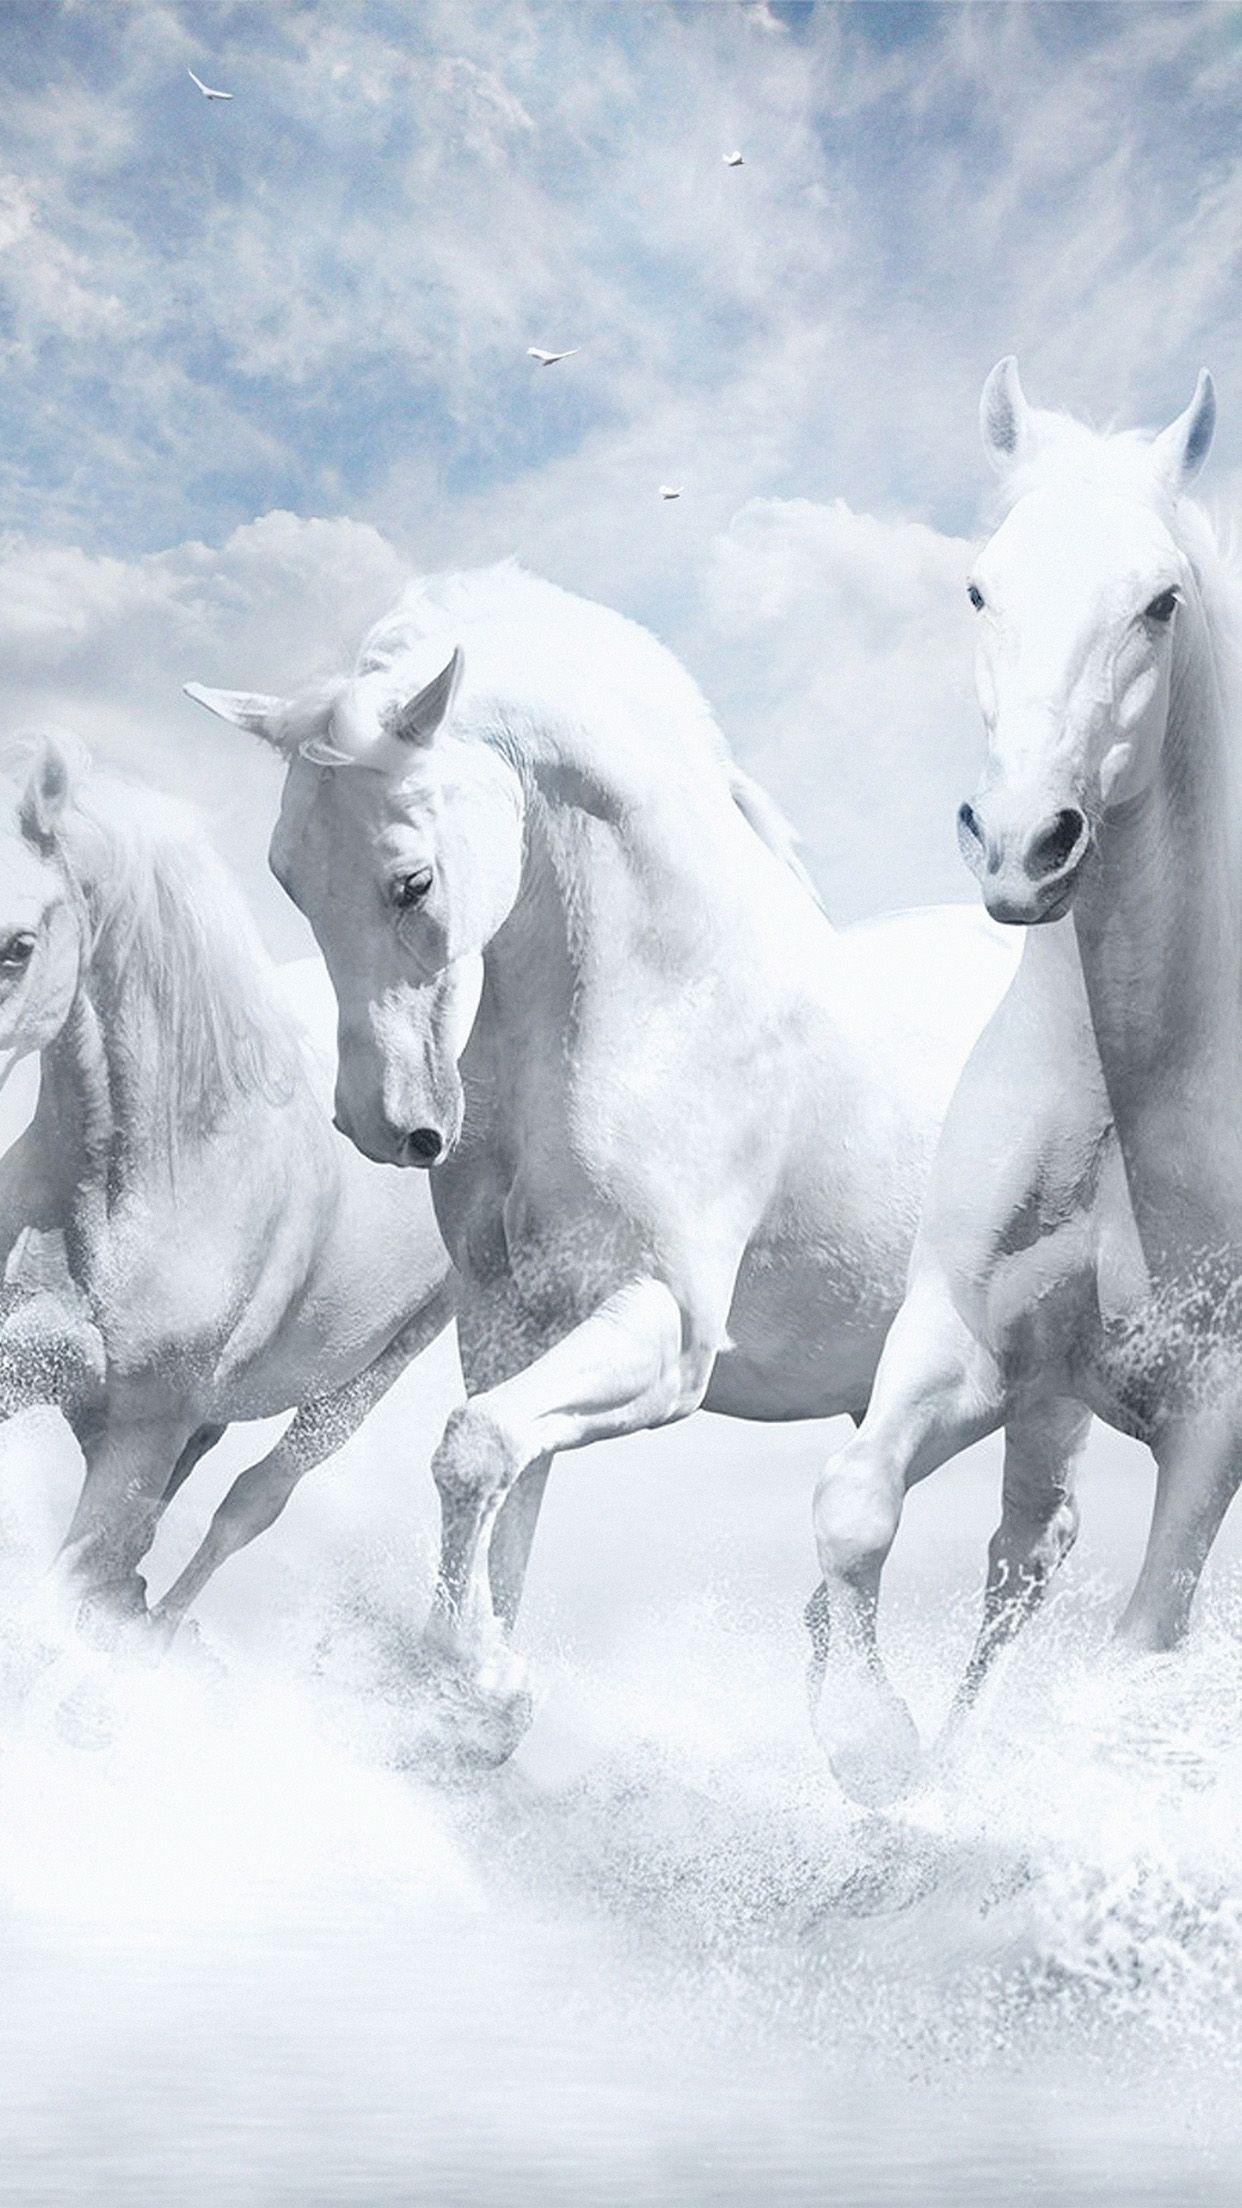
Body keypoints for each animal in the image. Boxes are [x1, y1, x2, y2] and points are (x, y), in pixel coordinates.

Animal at [186, 562, 1085, 1769]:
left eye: (411, 882)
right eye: (287, 877)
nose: (386, 1126)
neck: (659, 1008)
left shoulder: (666, 1329)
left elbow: (474, 1451)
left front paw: (482, 1685)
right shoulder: (512, 1321)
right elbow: (505, 1486)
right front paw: (478, 1697)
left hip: (1050, 1383)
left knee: (1027, 1554)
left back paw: (928, 1769)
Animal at [806, 361, 1240, 1801]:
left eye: (1159, 602)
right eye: (980, 589)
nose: (1019, 846)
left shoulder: (1211, 1419)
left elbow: (1141, 1652)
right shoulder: (972, 1338)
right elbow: (854, 1505)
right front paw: (870, 1749)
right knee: (1020, 1554)